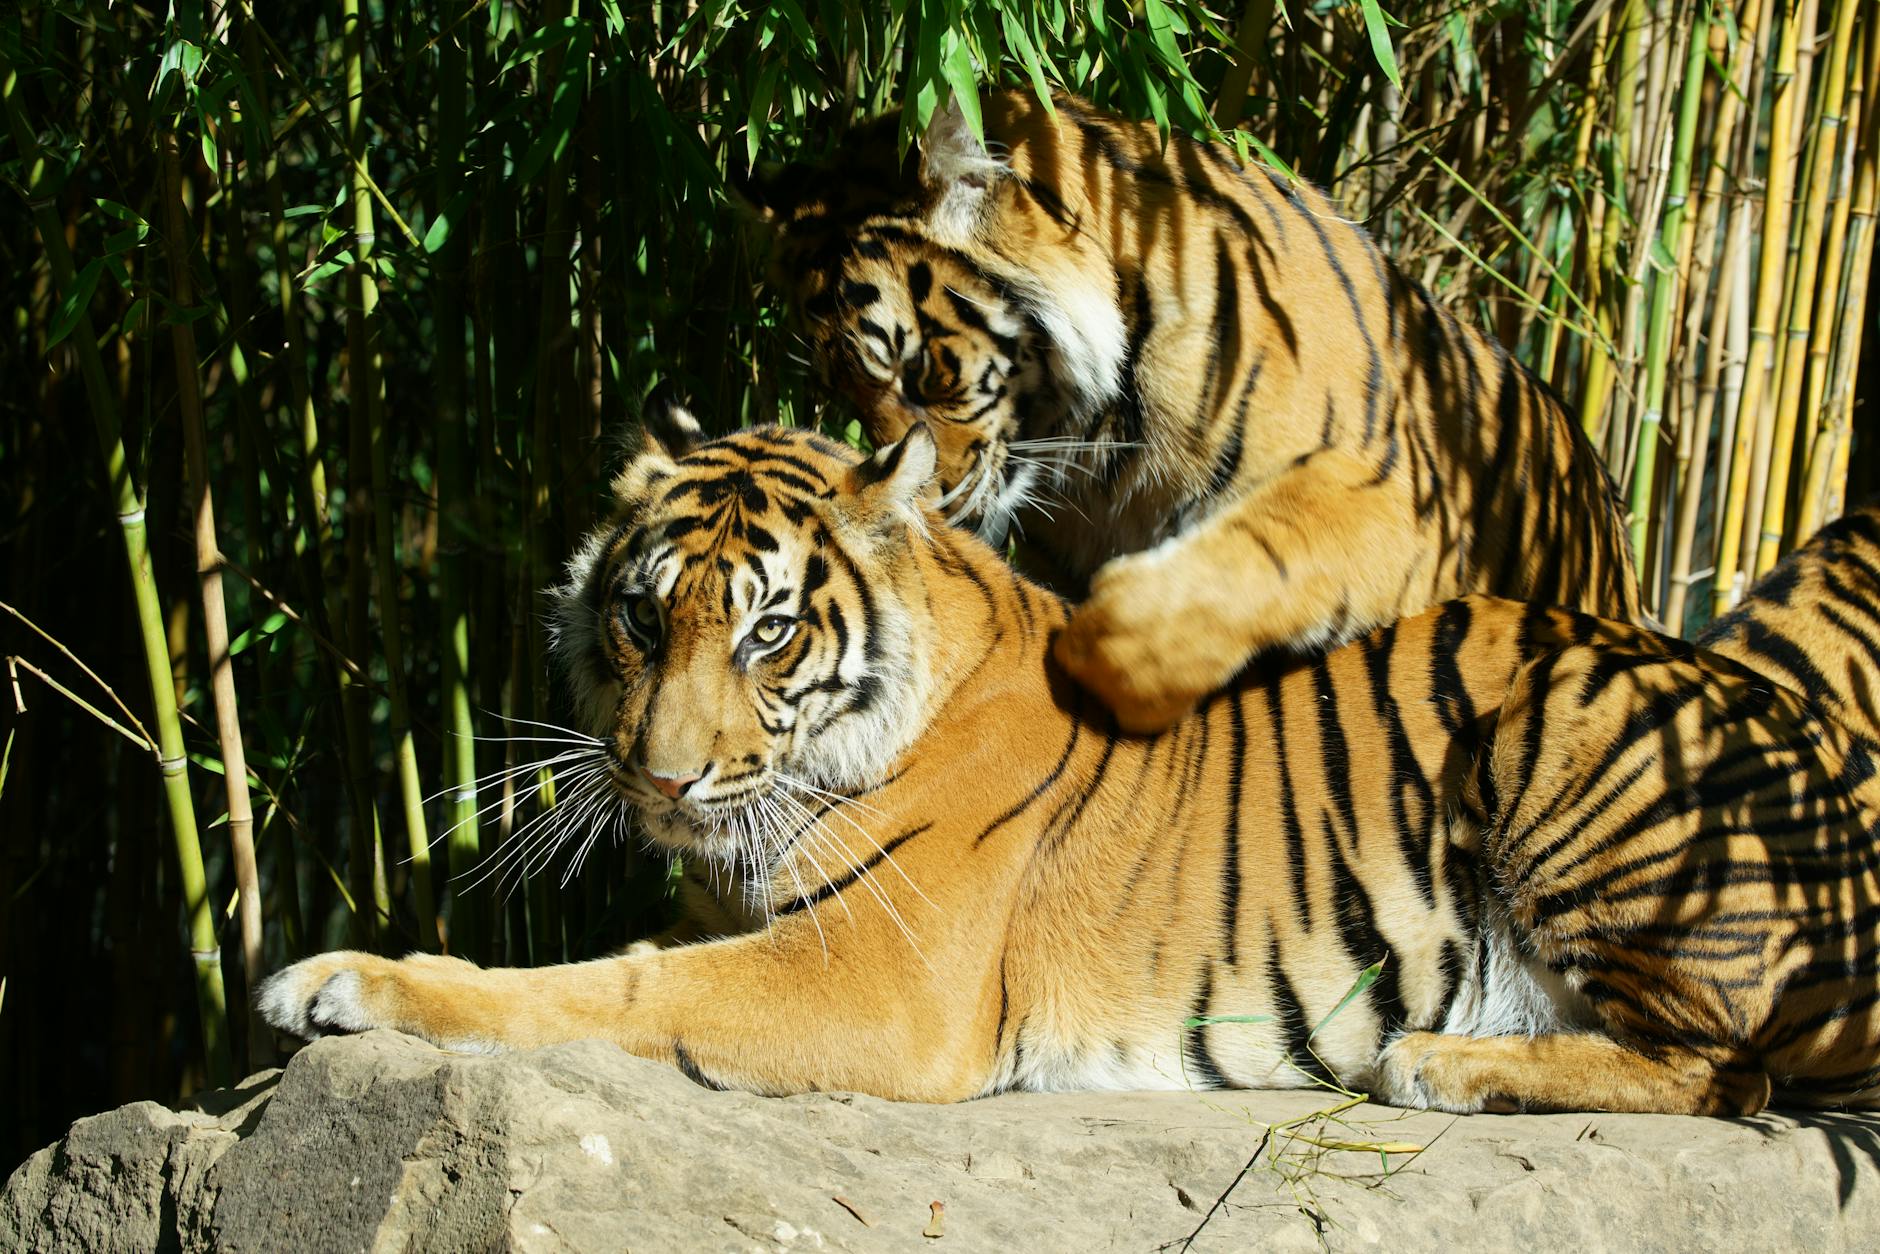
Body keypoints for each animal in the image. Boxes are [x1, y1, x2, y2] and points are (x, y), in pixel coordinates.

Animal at [261, 417, 1880, 1116]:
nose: (658, 782)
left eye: (771, 631)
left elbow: (616, 987)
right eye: (645, 616)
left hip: (1575, 737)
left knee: (1725, 1073)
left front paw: (342, 981)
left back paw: (1442, 1063)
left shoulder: (880, 981)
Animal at [741, 89, 1641, 731]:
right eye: (846, 395)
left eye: (922, 370)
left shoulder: (1399, 498)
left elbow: (1224, 573)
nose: (923, 507)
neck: (1103, 445)